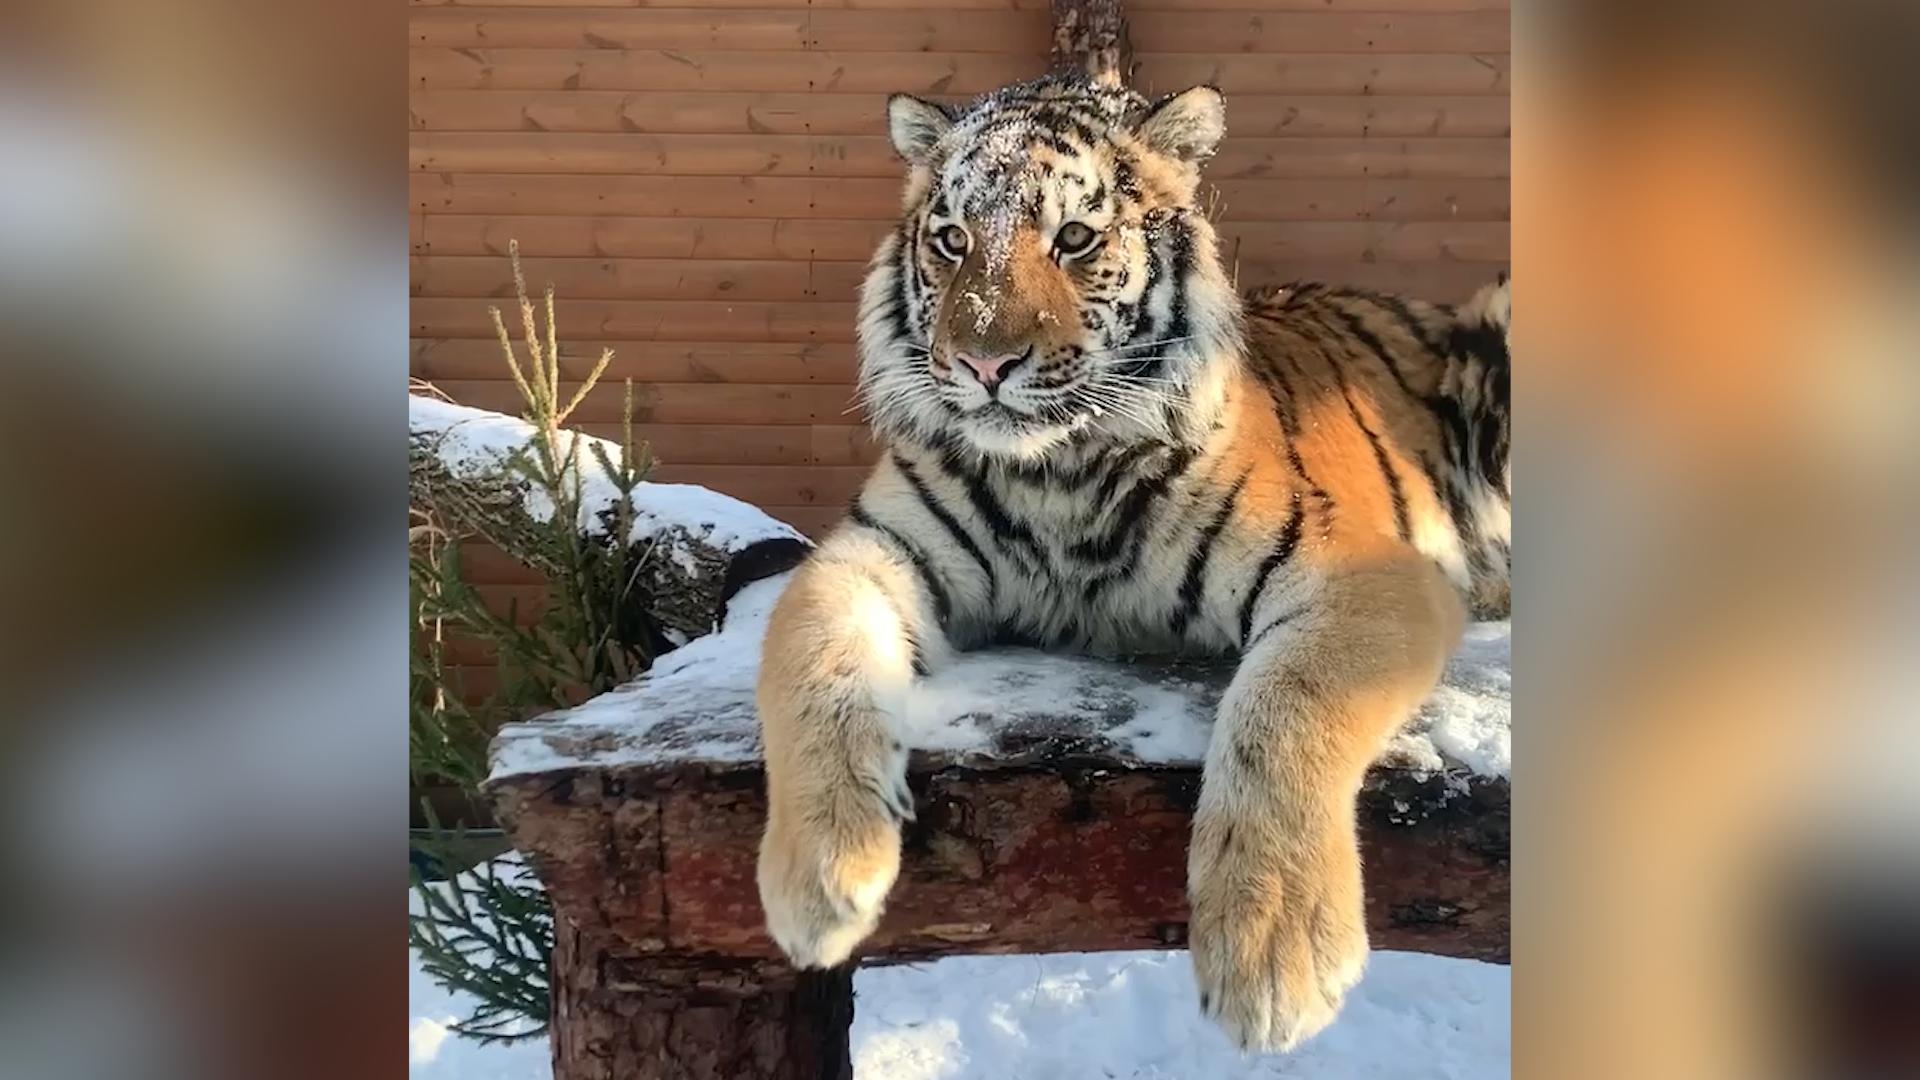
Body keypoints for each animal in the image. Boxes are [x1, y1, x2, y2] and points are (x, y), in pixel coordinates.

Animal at [756, 75, 1505, 1053]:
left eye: (1074, 238)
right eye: (952, 239)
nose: (983, 362)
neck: (1059, 477)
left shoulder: (1364, 574)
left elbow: (1286, 703)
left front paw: (1273, 952)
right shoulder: (874, 549)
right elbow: (813, 656)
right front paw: (818, 880)